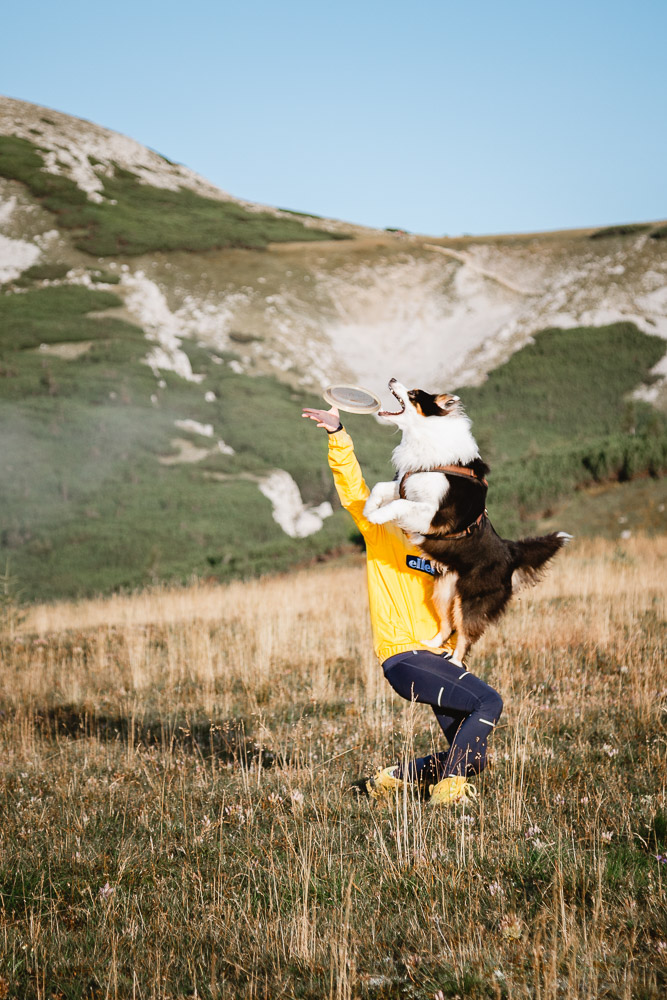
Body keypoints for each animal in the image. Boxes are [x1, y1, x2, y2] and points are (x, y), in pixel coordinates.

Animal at [362, 376, 572, 664]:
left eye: (414, 393)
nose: (392, 378)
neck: (426, 435)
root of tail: (511, 552)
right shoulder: (409, 484)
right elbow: (383, 487)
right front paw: (369, 507)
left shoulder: (433, 515)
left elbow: (399, 503)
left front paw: (377, 514)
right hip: (444, 591)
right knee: (447, 625)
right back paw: (429, 644)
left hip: (471, 600)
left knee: (464, 635)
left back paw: (454, 661)